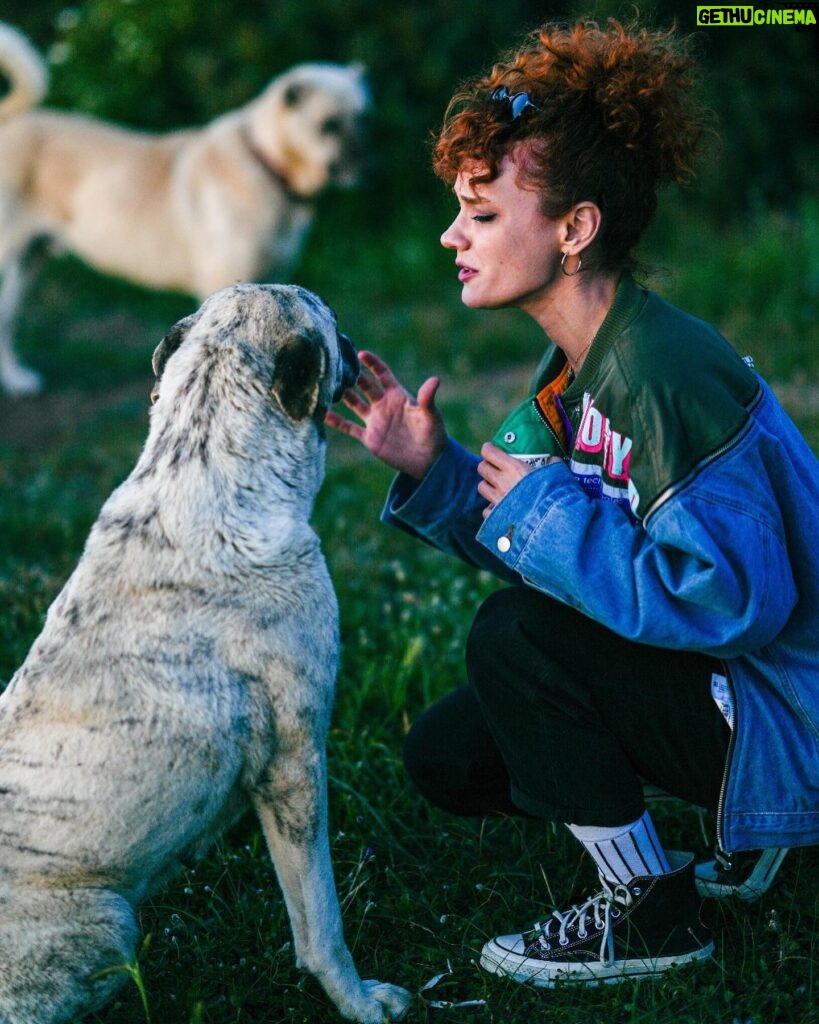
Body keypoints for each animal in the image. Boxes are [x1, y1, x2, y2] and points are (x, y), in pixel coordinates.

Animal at [0, 24, 368, 393]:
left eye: (363, 118)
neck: (264, 162)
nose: (369, 165)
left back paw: (16, 378)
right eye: (329, 125)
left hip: (29, 263)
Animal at [0, 282, 413, 1024]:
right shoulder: (294, 764)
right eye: (330, 319)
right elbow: (320, 920)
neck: (208, 467)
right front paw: (361, 1002)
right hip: (110, 922)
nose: (353, 339)